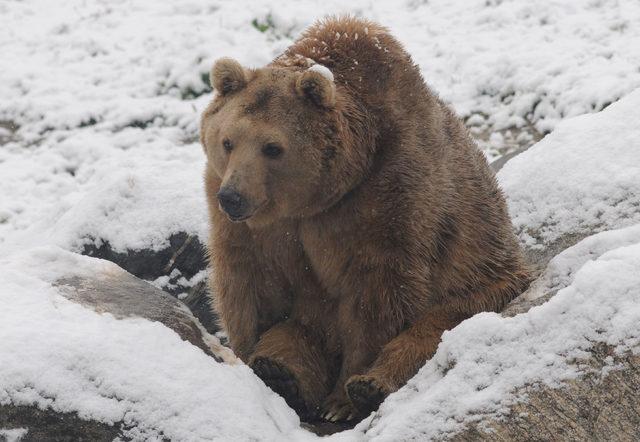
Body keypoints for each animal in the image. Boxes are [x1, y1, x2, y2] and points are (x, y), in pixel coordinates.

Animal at [200, 15, 528, 424]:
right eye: (227, 141)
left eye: (272, 147)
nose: (233, 197)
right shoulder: (255, 227)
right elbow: (250, 284)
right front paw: (250, 359)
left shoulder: (385, 199)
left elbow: (377, 294)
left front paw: (342, 399)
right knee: (300, 331)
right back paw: (280, 371)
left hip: (482, 278)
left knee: (436, 328)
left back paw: (369, 385)